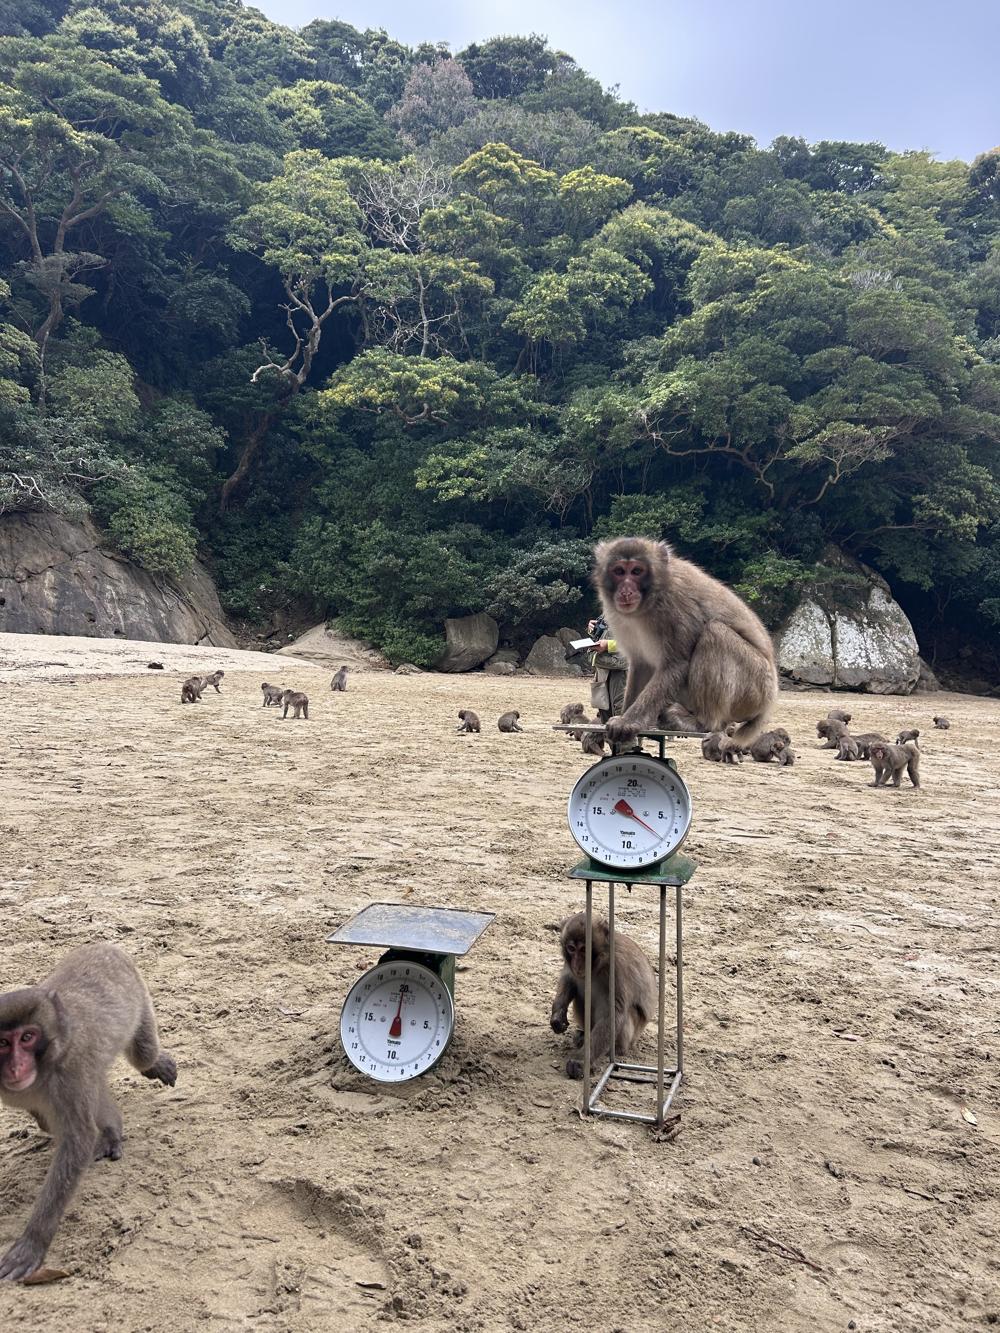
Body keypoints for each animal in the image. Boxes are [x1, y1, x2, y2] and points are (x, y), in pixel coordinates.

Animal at [0, 943, 176, 1281]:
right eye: (2, 1043)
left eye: (27, 1037)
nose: (15, 1067)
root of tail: (105, 946)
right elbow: (52, 1120)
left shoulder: (69, 1074)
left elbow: (77, 1141)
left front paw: (33, 1241)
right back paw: (111, 1131)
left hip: (139, 997)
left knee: (142, 1054)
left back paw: (154, 1064)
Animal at [550, 912, 656, 1080]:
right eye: (571, 948)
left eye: (584, 949)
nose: (578, 964)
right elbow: (569, 979)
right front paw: (557, 1016)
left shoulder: (616, 968)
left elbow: (612, 1014)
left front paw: (581, 1061)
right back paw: (583, 1035)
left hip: (631, 1035)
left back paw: (614, 1049)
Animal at [592, 538, 777, 747]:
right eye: (619, 571)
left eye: (637, 571)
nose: (626, 591)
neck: (650, 600)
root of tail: (768, 704)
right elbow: (641, 663)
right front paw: (625, 720)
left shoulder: (676, 605)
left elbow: (676, 664)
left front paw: (627, 721)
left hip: (756, 688)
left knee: (715, 634)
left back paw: (703, 723)